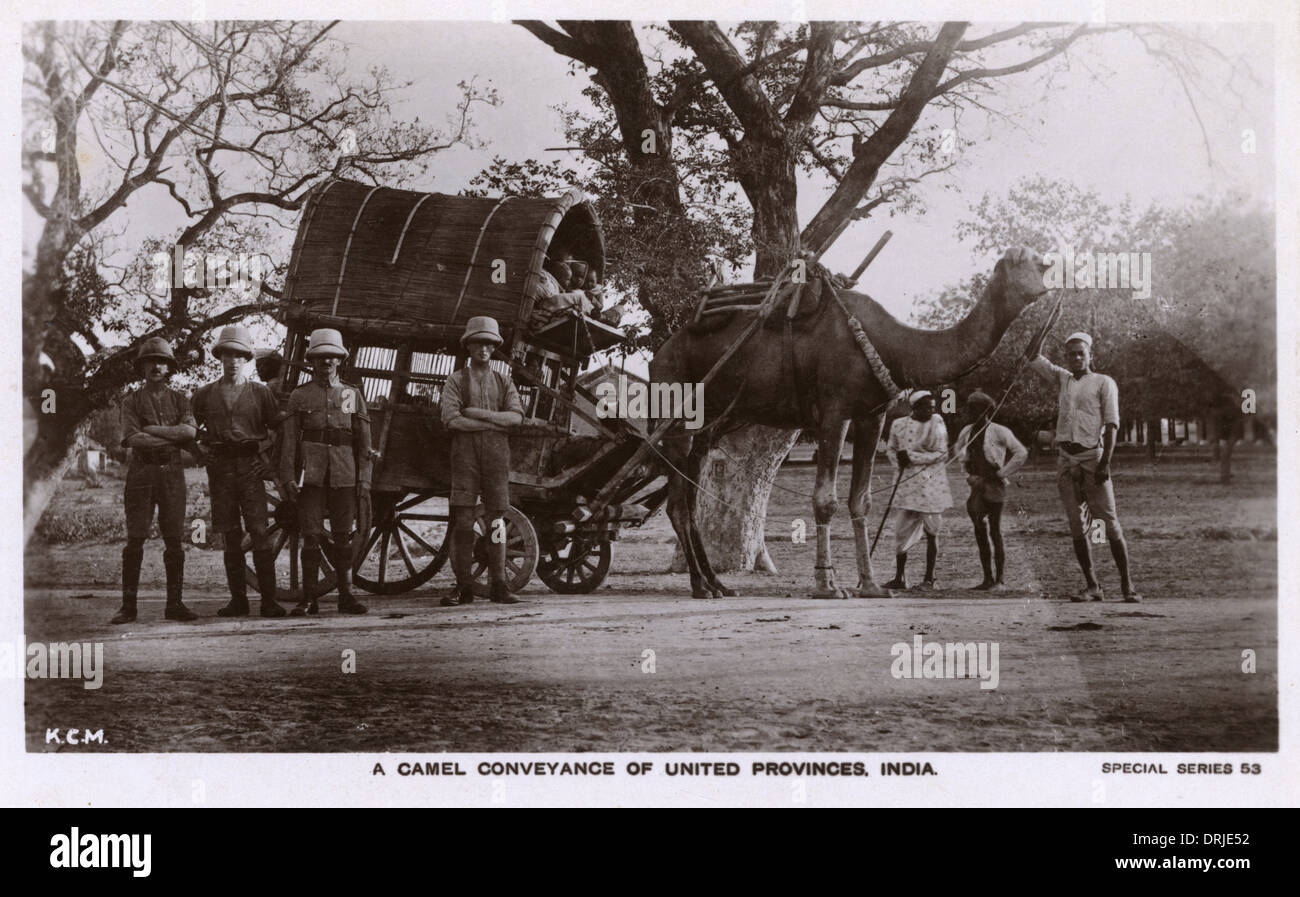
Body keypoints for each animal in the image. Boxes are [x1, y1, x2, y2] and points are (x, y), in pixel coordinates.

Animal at [650, 244, 1055, 598]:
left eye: (1041, 261)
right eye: (1028, 263)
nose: (1052, 276)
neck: (891, 344)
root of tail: (659, 355)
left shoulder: (872, 417)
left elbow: (861, 501)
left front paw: (871, 585)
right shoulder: (834, 413)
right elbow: (824, 500)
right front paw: (827, 585)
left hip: (709, 422)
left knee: (690, 495)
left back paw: (718, 584)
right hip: (675, 408)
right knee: (677, 503)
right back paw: (701, 587)